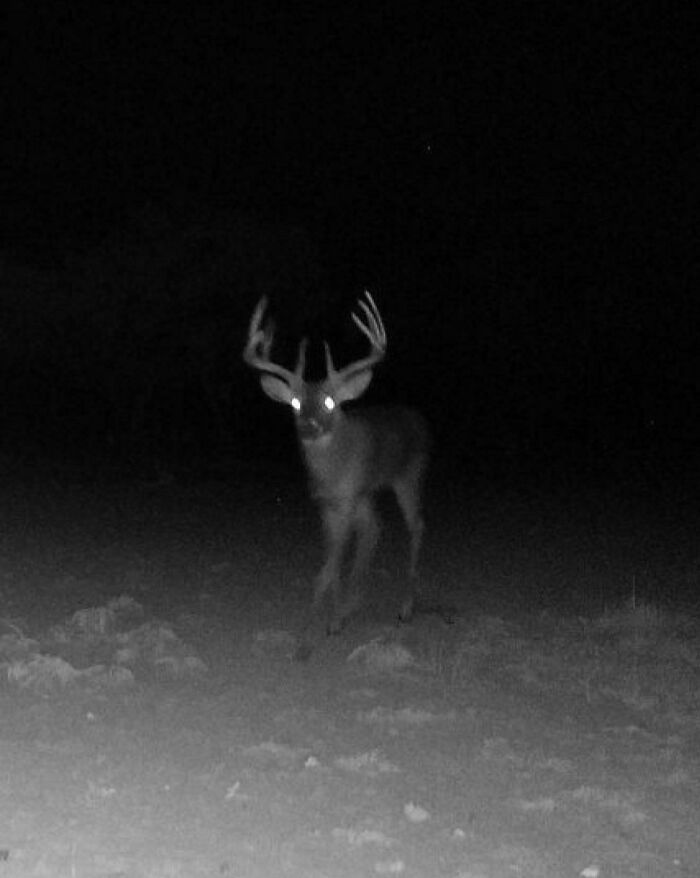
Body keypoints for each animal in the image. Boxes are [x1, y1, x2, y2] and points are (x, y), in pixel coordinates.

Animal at [242, 291, 430, 659]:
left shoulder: (346, 499)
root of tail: (419, 420)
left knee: (415, 525)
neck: (332, 470)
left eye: (330, 402)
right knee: (374, 529)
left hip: (408, 475)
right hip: (368, 492)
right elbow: (334, 559)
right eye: (295, 403)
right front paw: (331, 618)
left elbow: (330, 565)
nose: (308, 427)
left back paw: (405, 608)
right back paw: (349, 609)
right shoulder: (328, 503)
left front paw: (307, 639)